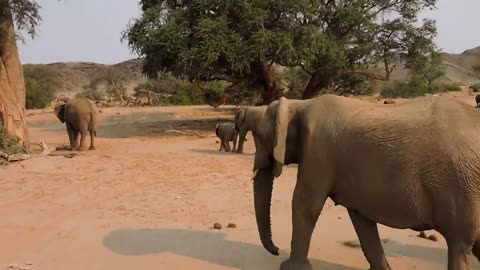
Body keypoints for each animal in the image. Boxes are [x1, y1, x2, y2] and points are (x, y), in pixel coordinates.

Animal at [249, 94, 480, 268]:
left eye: (260, 137)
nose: (276, 250)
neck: (300, 104)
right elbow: (361, 218)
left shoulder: (318, 151)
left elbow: (306, 204)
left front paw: (291, 267)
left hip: (462, 185)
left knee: (460, 244)